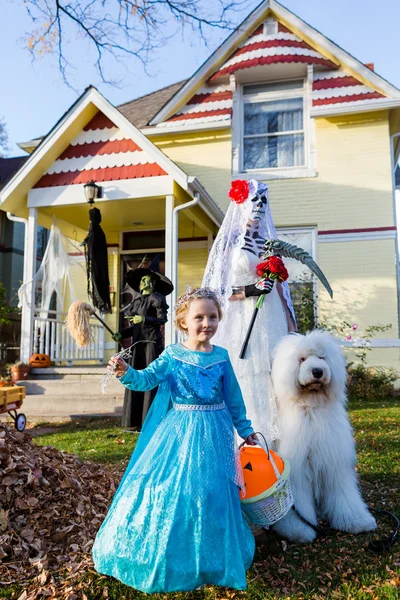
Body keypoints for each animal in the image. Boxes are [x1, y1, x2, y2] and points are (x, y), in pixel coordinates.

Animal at [270, 330, 376, 540]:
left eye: (322, 358)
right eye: (301, 359)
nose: (318, 371)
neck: (312, 407)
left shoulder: (335, 464)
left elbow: (344, 494)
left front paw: (357, 521)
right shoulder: (297, 471)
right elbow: (299, 503)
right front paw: (299, 530)